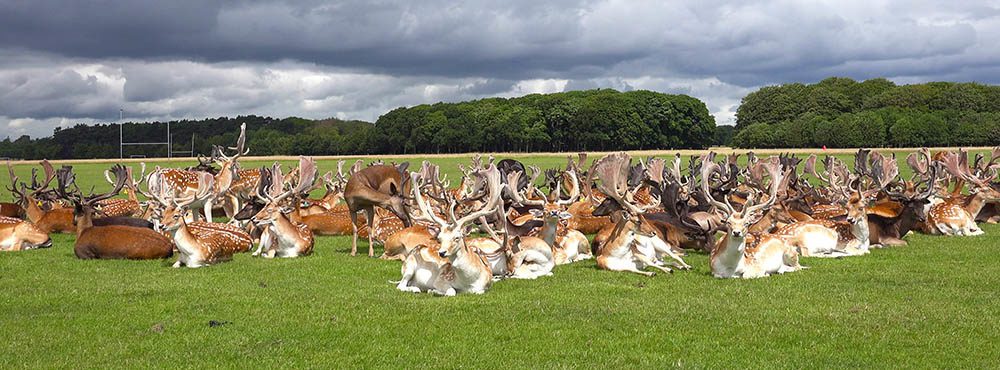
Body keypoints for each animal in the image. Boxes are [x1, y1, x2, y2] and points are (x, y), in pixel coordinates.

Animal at [396, 165, 504, 294]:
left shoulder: (486, 286)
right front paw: (433, 290)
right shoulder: (441, 278)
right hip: (409, 266)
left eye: (457, 237)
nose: (441, 253)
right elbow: (451, 291)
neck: (469, 282)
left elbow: (480, 291)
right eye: (439, 238)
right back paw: (416, 289)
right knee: (401, 285)